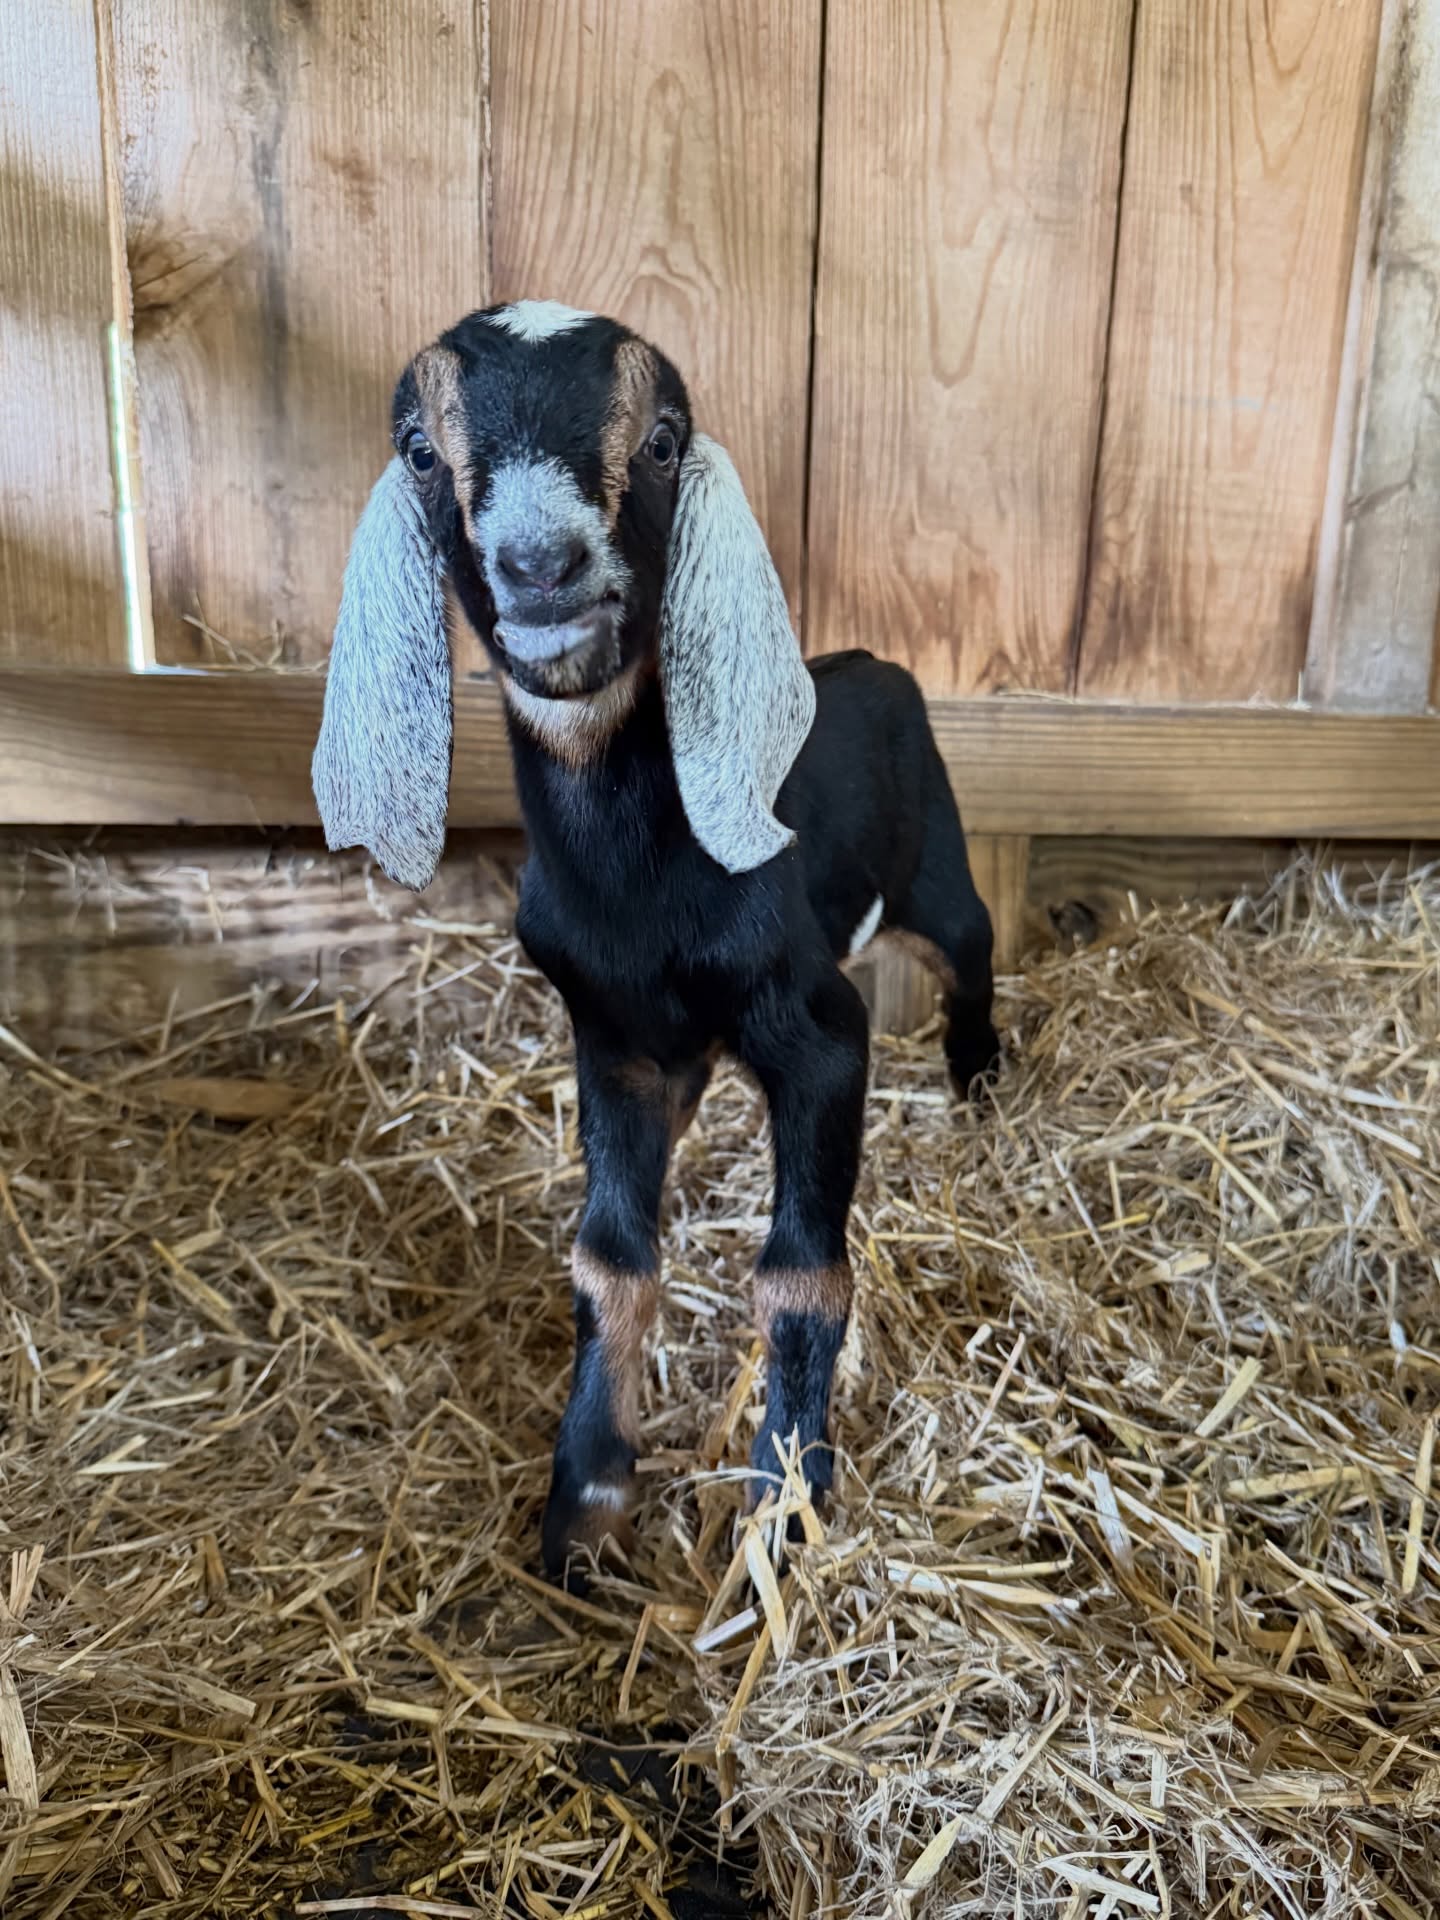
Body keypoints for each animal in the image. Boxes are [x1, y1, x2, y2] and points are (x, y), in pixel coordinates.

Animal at [313, 300, 1000, 1582]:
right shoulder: (615, 1042)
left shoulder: (816, 1030)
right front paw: (584, 1501)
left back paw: (979, 1075)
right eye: (422, 452)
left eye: (664, 442)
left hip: (934, 867)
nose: (541, 564)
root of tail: (875, 665)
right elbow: (610, 1257)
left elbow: (801, 1276)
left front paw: (785, 1507)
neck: (638, 884)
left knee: (970, 945)